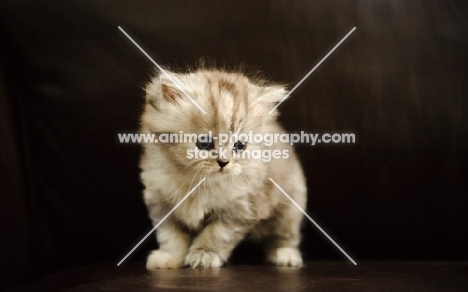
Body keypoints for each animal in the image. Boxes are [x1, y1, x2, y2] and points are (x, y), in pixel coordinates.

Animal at [139, 68, 308, 270]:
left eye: (240, 145)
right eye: (204, 143)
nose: (223, 162)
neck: (196, 182)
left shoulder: (239, 211)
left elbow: (215, 236)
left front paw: (204, 255)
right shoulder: (161, 204)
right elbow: (171, 238)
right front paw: (169, 258)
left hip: (289, 207)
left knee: (286, 235)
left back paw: (285, 255)